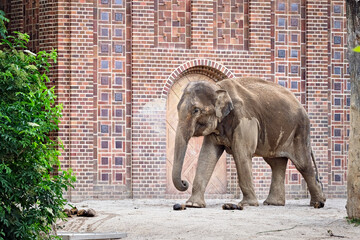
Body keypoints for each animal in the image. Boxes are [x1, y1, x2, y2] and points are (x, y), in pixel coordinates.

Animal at [172, 77, 326, 208]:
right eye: (177, 109)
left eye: (196, 110)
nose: (184, 182)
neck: (219, 87)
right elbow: (207, 155)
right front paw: (193, 205)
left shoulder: (244, 118)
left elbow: (241, 153)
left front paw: (247, 204)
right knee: (276, 163)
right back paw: (273, 203)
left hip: (300, 130)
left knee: (302, 164)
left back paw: (318, 203)